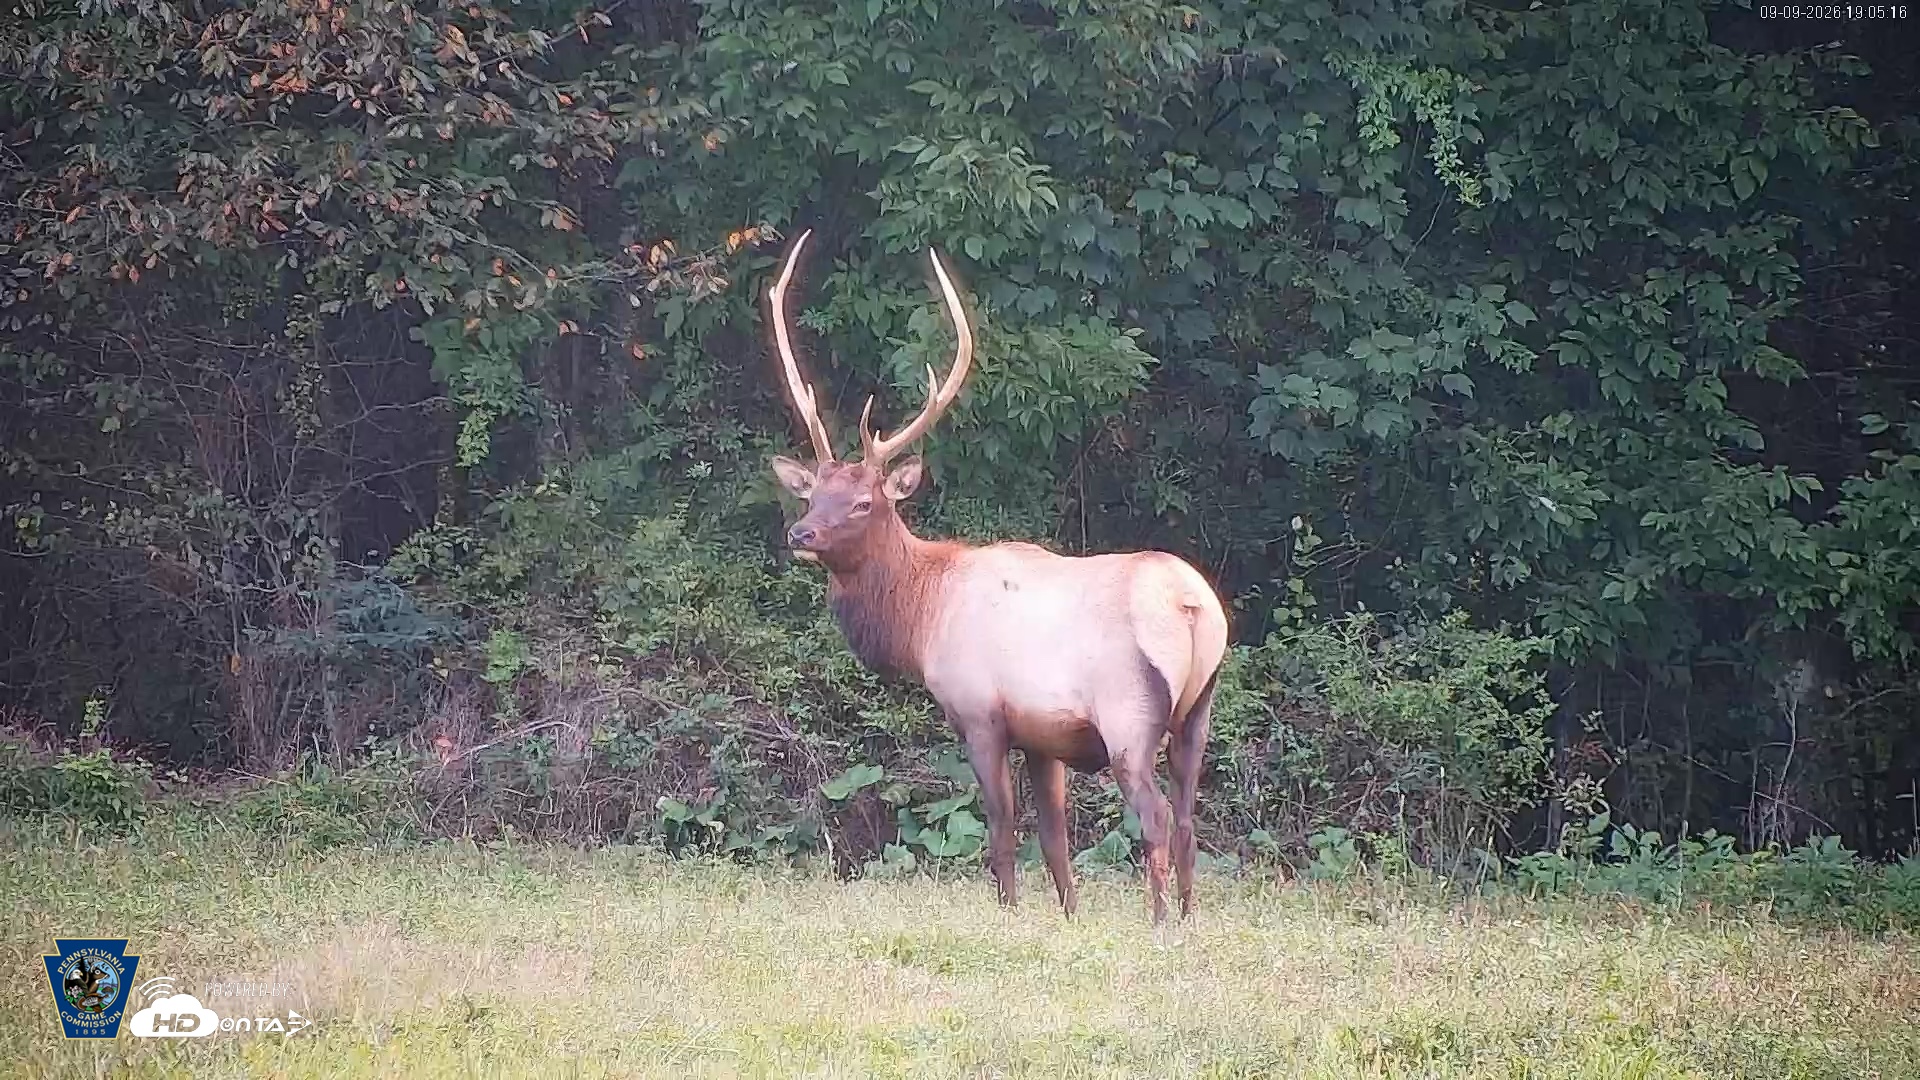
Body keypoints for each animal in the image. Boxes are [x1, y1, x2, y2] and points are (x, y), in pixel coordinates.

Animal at [762, 229, 1230, 924]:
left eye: (865, 502)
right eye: (813, 494)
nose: (802, 535)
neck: (922, 616)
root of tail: (1193, 606)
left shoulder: (980, 711)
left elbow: (1002, 830)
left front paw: (1009, 913)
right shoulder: (1044, 735)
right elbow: (1056, 839)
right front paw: (1068, 919)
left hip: (1129, 716)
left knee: (1154, 817)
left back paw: (1160, 924)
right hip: (1199, 710)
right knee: (1191, 820)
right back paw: (1192, 920)